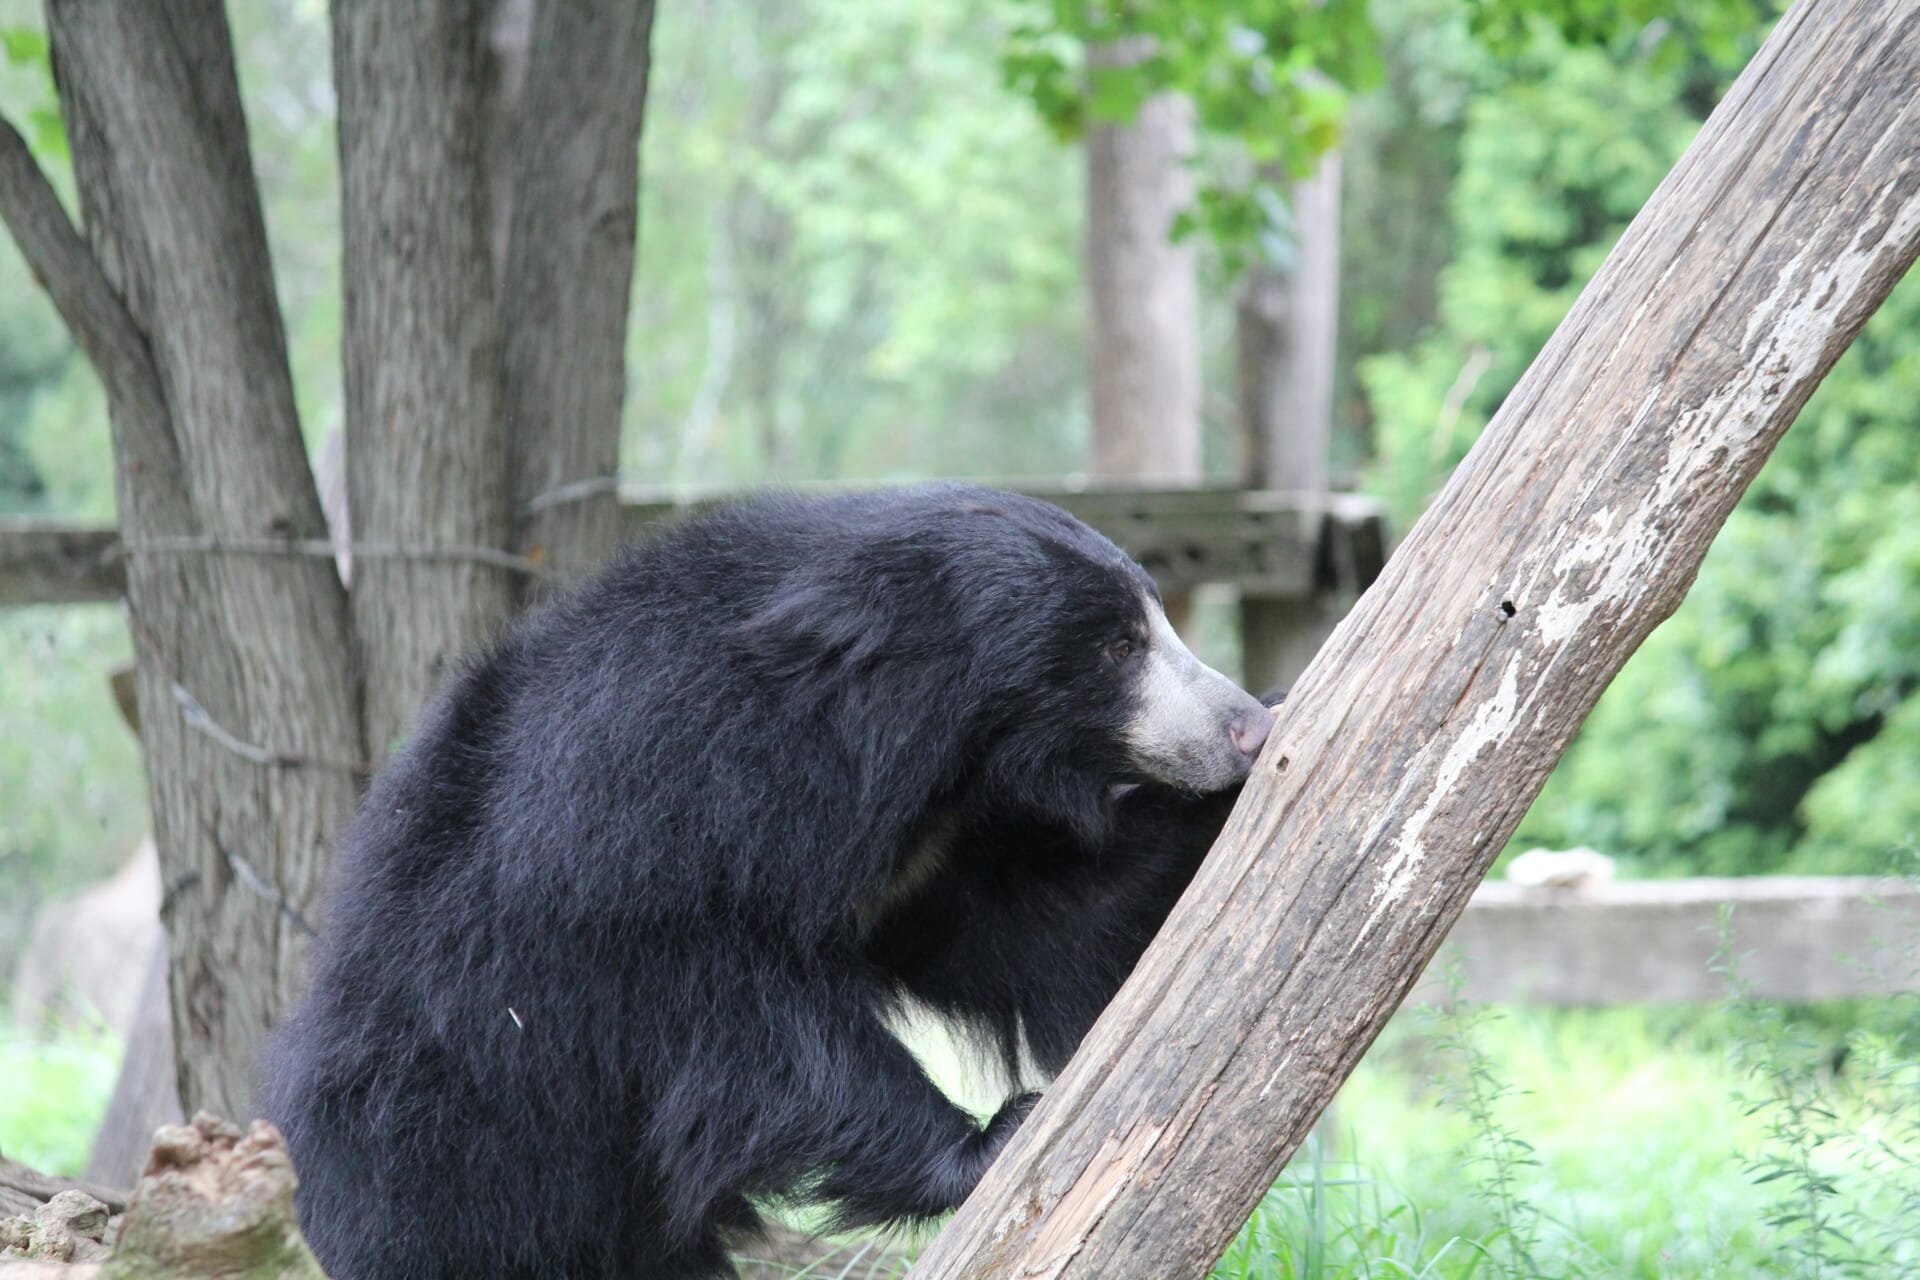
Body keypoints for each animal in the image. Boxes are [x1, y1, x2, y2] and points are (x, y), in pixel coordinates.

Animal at [259, 485, 1274, 1274]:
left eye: (1153, 621)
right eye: (1116, 647)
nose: (1244, 728)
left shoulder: (922, 862)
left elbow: (1046, 918)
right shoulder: (634, 842)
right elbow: (744, 1031)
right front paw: (994, 1139)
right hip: (440, 1139)